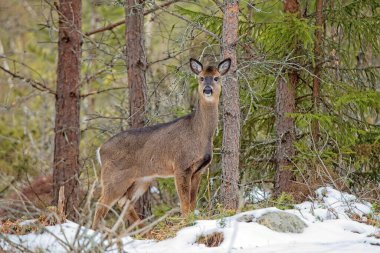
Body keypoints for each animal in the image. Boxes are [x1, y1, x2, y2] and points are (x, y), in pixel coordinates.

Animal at [92, 58, 232, 230]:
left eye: (216, 78)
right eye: (201, 78)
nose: (207, 89)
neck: (198, 132)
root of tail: (100, 150)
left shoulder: (198, 170)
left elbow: (192, 202)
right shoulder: (181, 166)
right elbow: (184, 203)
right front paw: (187, 223)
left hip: (141, 179)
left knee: (124, 202)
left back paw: (145, 231)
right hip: (113, 177)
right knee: (101, 204)